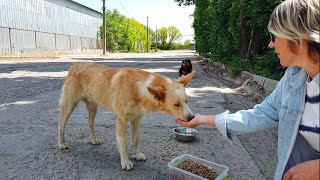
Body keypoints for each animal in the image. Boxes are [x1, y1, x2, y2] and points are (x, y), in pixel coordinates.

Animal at [58, 63, 196, 170]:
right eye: (176, 104)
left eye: (187, 101)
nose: (191, 118)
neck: (137, 88)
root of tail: (76, 64)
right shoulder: (121, 120)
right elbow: (123, 143)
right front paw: (125, 162)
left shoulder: (136, 119)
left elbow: (135, 139)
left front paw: (137, 154)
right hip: (69, 105)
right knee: (60, 125)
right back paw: (61, 143)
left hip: (93, 107)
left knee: (90, 124)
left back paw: (93, 139)